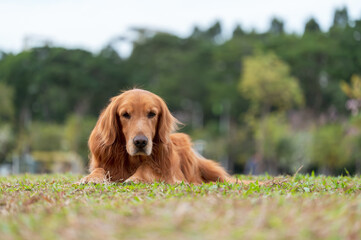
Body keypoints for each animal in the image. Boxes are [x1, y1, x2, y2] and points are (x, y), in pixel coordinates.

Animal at [79, 89, 253, 185]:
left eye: (152, 114)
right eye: (125, 114)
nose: (140, 142)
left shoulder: (169, 173)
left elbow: (147, 167)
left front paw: (135, 178)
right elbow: (99, 169)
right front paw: (91, 178)